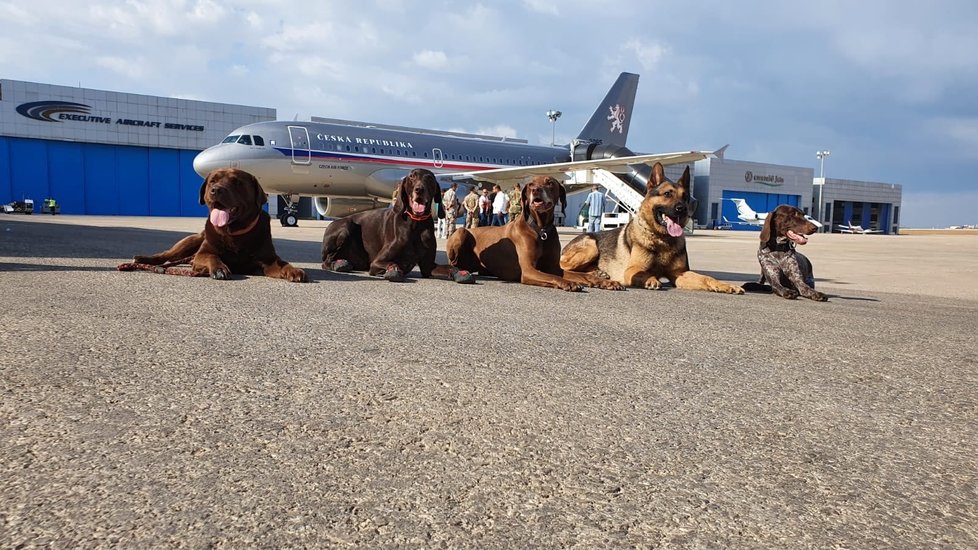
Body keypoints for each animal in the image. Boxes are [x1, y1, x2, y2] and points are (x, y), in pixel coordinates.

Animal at [125, 168, 304, 282]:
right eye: (213, 181)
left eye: (237, 182)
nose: (216, 190)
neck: (234, 233)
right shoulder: (203, 254)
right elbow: (212, 256)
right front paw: (219, 269)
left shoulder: (268, 260)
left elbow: (282, 263)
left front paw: (293, 270)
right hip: (189, 241)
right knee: (166, 255)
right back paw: (143, 259)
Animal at [320, 169, 466, 282]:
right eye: (412, 176)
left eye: (429, 178)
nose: (419, 190)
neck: (416, 224)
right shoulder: (377, 262)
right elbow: (394, 263)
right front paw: (394, 270)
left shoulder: (428, 266)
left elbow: (450, 267)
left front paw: (459, 272)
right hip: (346, 226)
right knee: (326, 261)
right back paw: (339, 264)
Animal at [446, 177, 620, 294]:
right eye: (530, 185)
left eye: (549, 182)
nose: (536, 189)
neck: (541, 229)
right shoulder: (529, 271)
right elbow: (555, 277)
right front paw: (568, 282)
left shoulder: (554, 267)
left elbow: (577, 275)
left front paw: (602, 282)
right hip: (461, 232)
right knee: (453, 261)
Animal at [560, 162, 744, 296]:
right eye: (667, 194)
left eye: (685, 197)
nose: (682, 209)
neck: (662, 239)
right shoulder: (631, 270)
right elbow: (644, 273)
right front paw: (651, 279)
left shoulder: (679, 274)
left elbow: (706, 278)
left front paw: (725, 285)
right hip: (591, 246)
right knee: (564, 266)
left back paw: (597, 274)